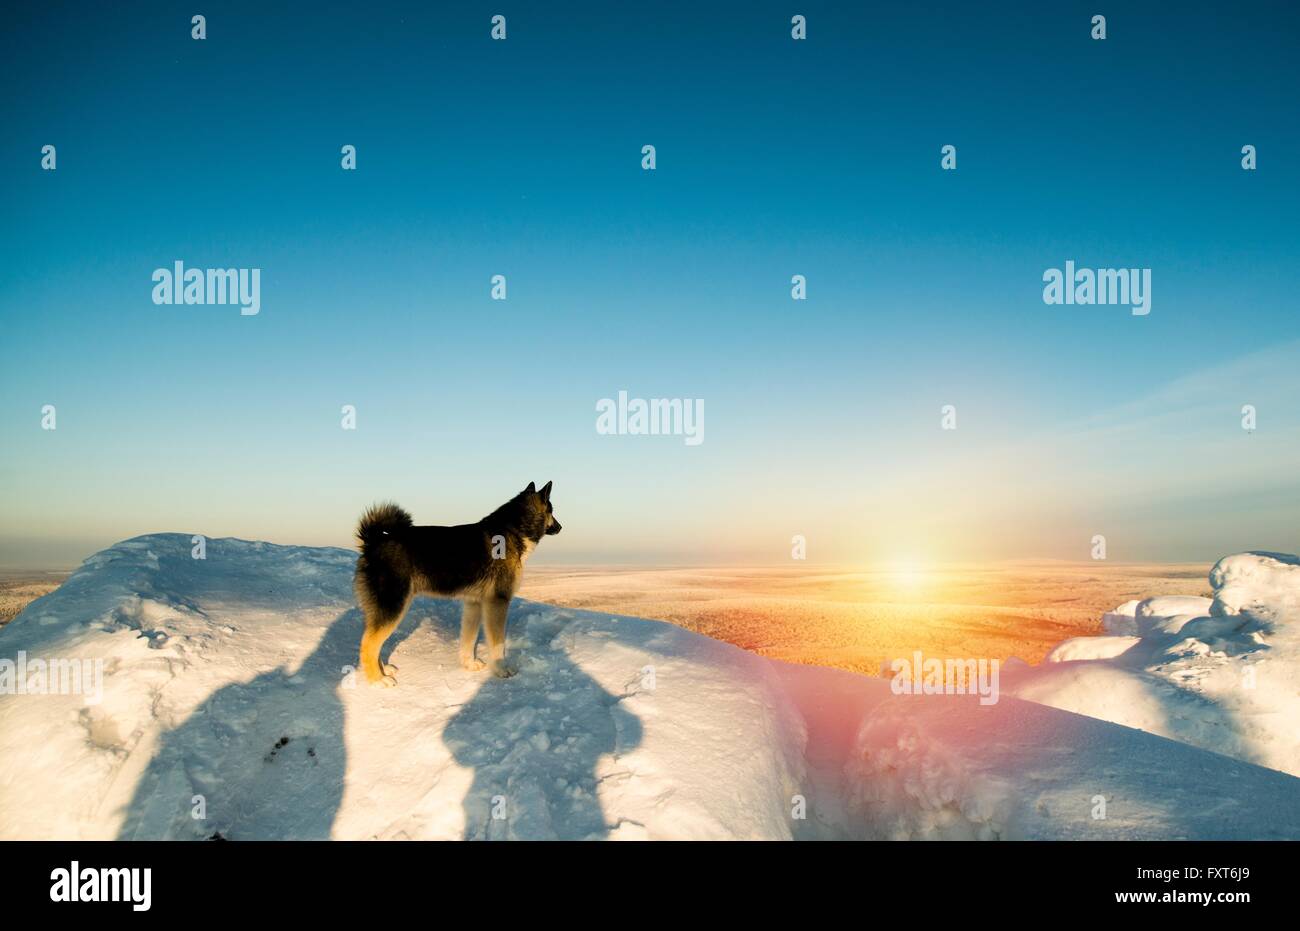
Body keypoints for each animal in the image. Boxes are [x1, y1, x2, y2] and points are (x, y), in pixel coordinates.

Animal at [353, 483, 561, 686]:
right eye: (552, 510)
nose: (560, 527)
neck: (515, 530)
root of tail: (374, 542)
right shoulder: (497, 602)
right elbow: (498, 644)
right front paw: (501, 669)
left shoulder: (473, 603)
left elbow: (468, 639)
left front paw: (469, 664)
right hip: (393, 605)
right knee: (368, 644)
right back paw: (378, 681)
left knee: (373, 641)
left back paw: (383, 671)